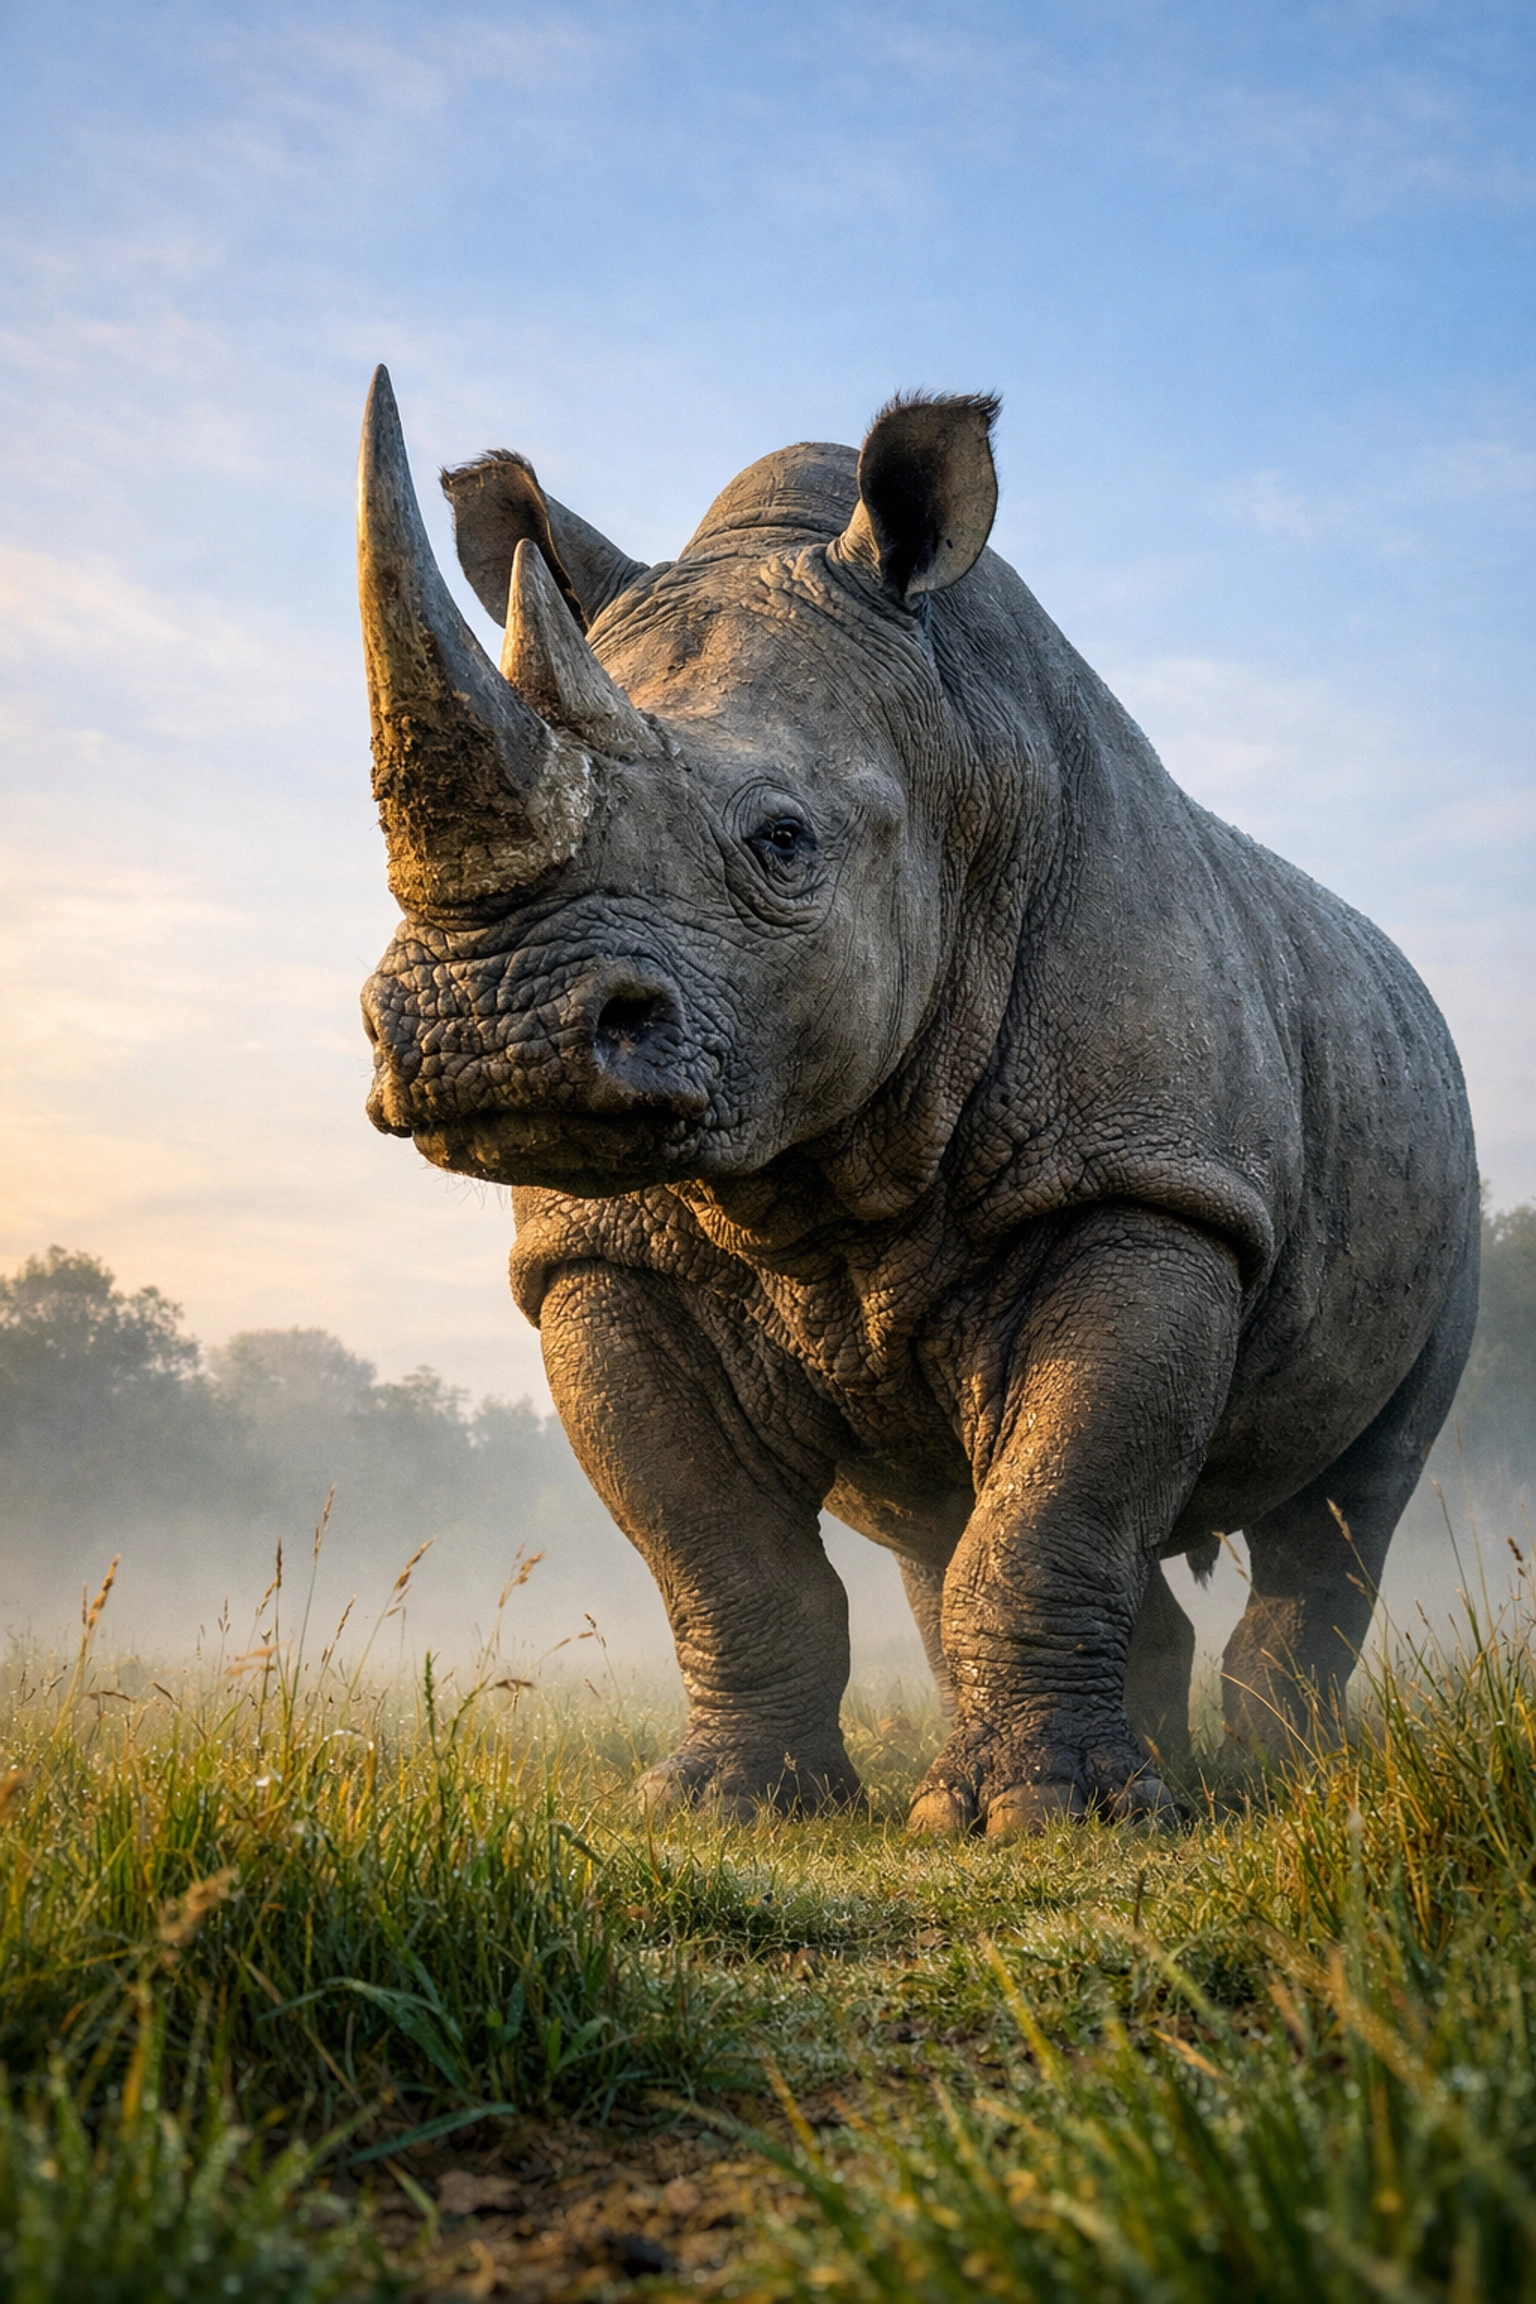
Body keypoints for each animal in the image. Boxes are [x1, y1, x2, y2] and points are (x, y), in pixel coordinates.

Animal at [356, 368, 1478, 1834]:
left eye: (784, 841)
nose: (488, 1028)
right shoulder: (594, 1250)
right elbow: (717, 1550)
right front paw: (727, 1806)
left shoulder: (1150, 1184)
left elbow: (1059, 1503)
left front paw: (1044, 1822)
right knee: (943, 1522)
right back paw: (1154, 1771)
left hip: (1440, 1150)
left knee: (1346, 1504)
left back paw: (1286, 1780)